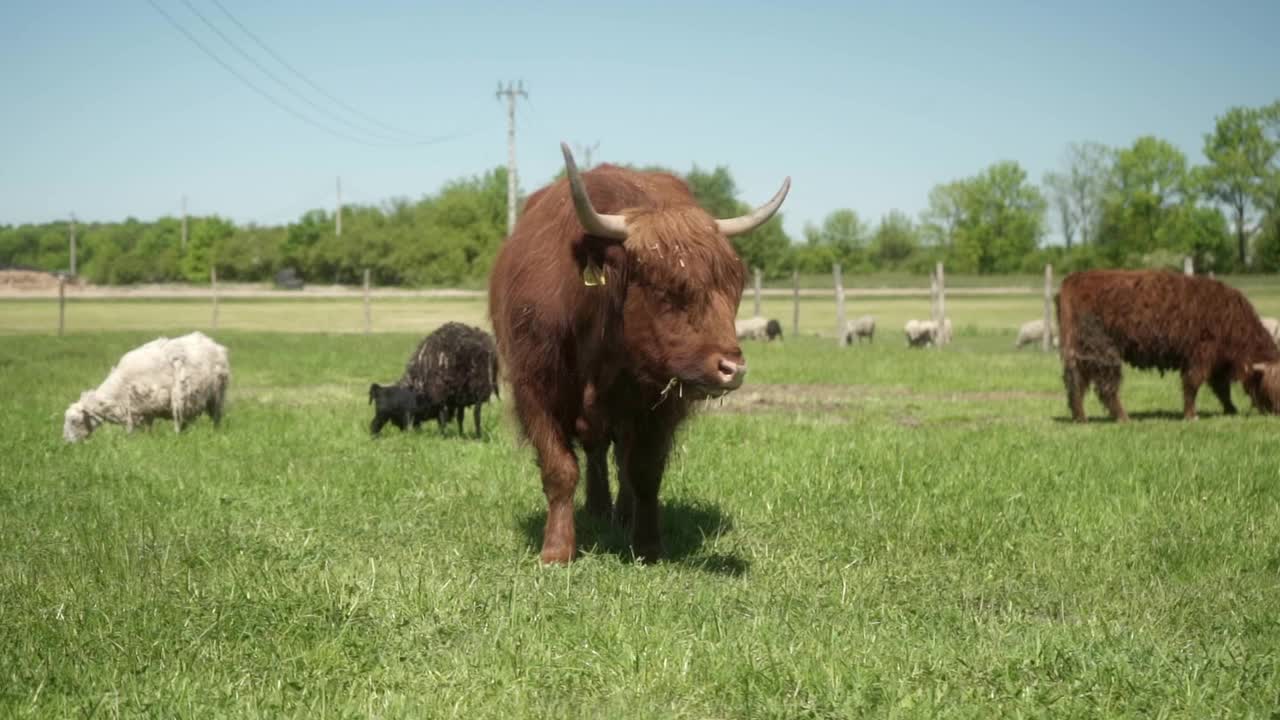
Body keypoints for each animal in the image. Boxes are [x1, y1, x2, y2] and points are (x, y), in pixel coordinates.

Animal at [61, 327, 230, 440]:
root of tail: (214, 344)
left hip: (213, 395)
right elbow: (148, 430)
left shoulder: (138, 409)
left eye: (74, 421)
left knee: (214, 418)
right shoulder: (146, 410)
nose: (67, 443)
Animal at [488, 142, 788, 563]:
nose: (732, 368)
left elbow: (645, 471)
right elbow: (559, 468)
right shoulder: (534, 389)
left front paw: (646, 545)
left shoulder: (659, 404)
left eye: (735, 285)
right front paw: (557, 549)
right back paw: (597, 508)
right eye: (666, 287)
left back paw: (622, 512)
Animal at [1054, 269, 1280, 420]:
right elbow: (1193, 383)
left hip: (1080, 350)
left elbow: (1221, 389)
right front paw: (1190, 415)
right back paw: (1123, 417)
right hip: (1102, 349)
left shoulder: (1218, 361)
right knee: (1105, 385)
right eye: (1273, 386)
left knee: (1076, 381)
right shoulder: (1201, 354)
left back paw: (1080, 417)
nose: (1276, 412)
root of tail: (1073, 279)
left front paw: (1231, 409)